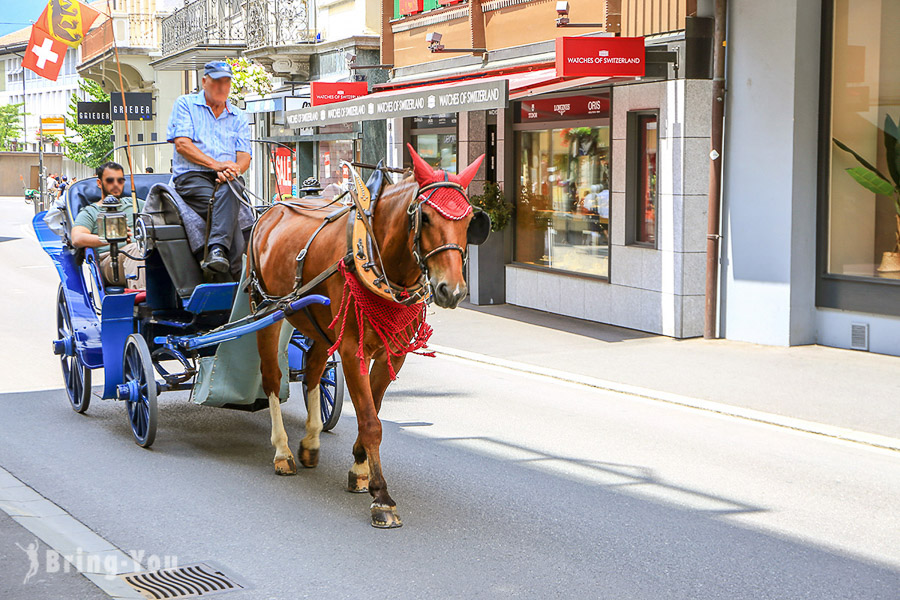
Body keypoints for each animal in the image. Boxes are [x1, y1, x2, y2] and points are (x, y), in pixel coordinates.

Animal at [250, 148, 488, 528]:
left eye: (469, 222)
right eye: (426, 218)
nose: (451, 290)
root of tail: (272, 208)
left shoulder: (393, 352)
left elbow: (371, 410)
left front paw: (360, 469)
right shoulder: (352, 351)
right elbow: (371, 421)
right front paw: (382, 497)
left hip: (318, 323)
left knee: (314, 370)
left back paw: (311, 441)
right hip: (266, 312)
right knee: (272, 376)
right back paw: (283, 451)